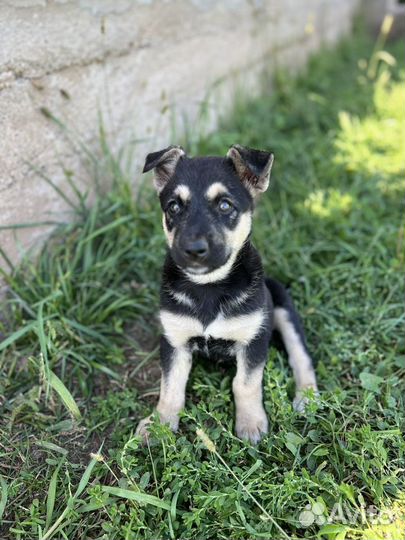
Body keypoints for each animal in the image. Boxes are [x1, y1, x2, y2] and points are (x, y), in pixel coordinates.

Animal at [137, 144, 318, 442]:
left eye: (225, 205)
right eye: (174, 206)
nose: (193, 250)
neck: (209, 287)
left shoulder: (254, 339)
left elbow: (245, 384)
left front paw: (251, 423)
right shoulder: (174, 340)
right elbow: (171, 386)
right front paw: (159, 424)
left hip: (283, 309)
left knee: (301, 356)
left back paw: (307, 397)